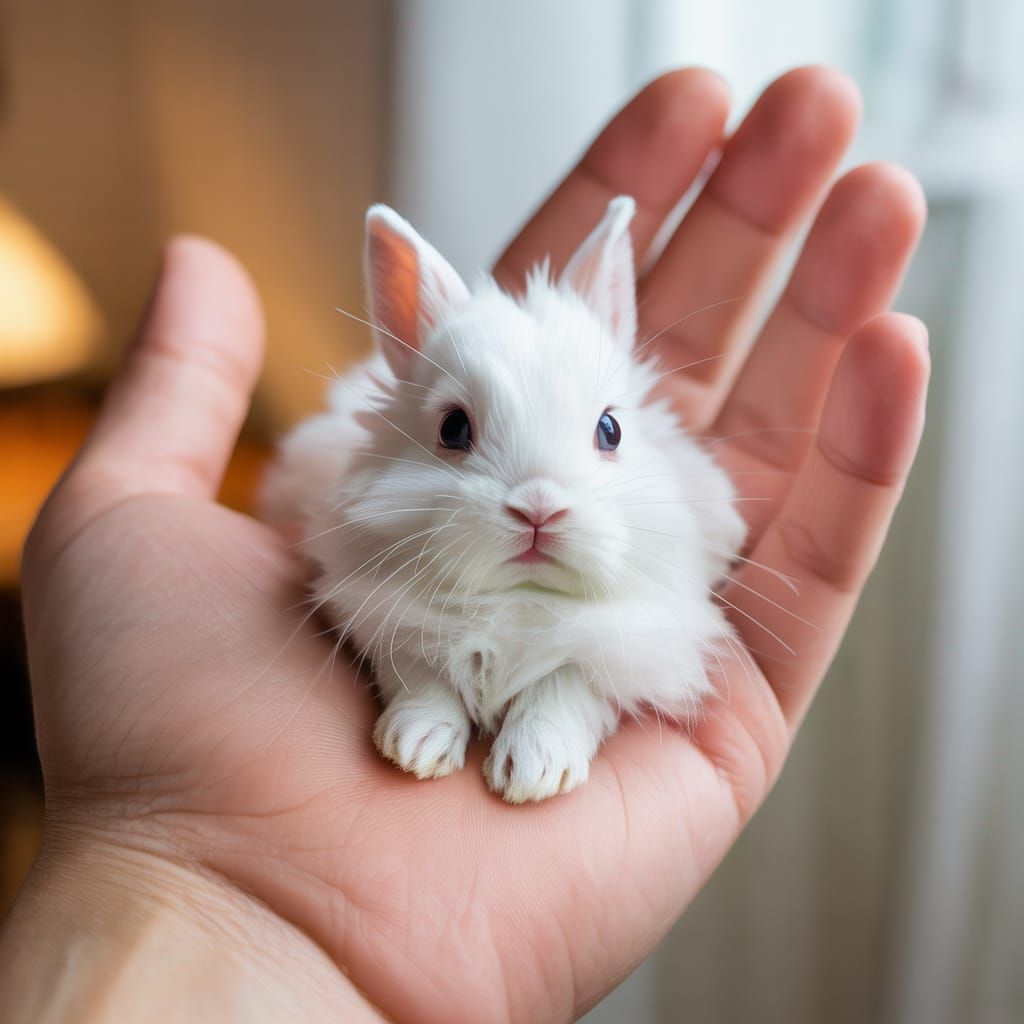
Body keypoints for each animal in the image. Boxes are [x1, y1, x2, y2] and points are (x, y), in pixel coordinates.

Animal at [261, 196, 748, 803]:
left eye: (610, 430)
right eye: (452, 428)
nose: (538, 509)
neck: (518, 600)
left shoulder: (623, 644)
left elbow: (565, 685)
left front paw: (534, 769)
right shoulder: (389, 621)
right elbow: (423, 675)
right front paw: (414, 745)